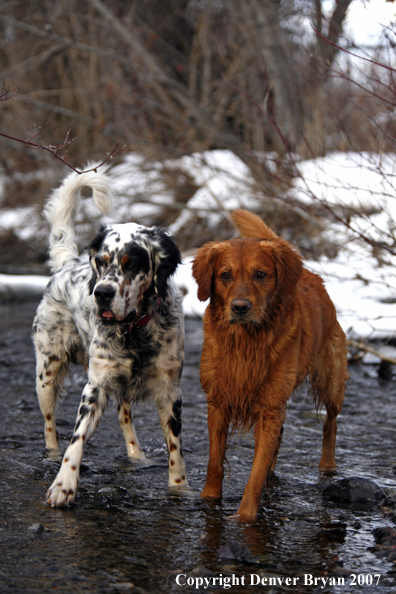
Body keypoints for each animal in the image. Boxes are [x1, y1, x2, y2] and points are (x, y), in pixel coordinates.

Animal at [32, 166, 187, 504]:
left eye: (131, 264)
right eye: (101, 261)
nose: (101, 293)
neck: (134, 329)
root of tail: (67, 264)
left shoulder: (170, 392)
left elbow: (175, 450)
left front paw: (180, 487)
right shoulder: (95, 387)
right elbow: (76, 440)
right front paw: (63, 485)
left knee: (124, 417)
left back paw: (137, 455)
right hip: (46, 373)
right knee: (50, 426)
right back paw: (51, 454)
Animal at [193, 208, 348, 520]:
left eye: (260, 274)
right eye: (225, 275)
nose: (240, 307)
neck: (246, 342)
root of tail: (310, 274)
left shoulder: (269, 408)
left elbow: (255, 472)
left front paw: (245, 517)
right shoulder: (218, 401)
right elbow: (215, 462)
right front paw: (209, 500)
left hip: (331, 379)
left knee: (331, 422)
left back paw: (327, 464)